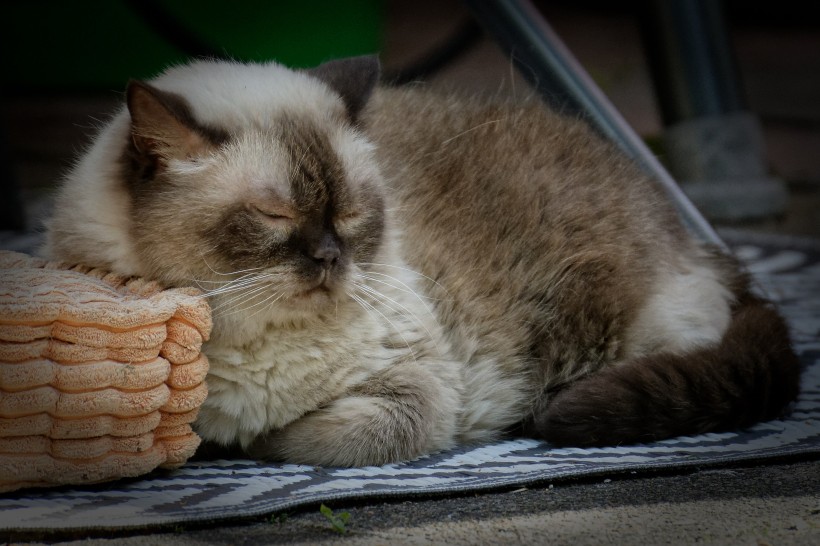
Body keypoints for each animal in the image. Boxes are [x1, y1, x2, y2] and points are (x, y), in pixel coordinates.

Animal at [40, 55, 800, 464]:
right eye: (276, 217)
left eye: (352, 214)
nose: (330, 257)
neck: (247, 338)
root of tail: (696, 234)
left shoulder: (419, 389)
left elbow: (311, 438)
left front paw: (252, 444)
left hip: (584, 343)